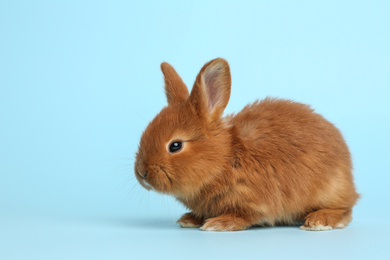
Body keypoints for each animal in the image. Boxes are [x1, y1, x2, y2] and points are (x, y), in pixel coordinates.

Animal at [135, 58, 360, 231]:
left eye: (175, 145)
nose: (142, 173)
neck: (225, 159)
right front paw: (189, 219)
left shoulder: (254, 201)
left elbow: (244, 216)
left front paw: (218, 224)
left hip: (329, 189)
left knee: (345, 210)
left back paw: (318, 221)